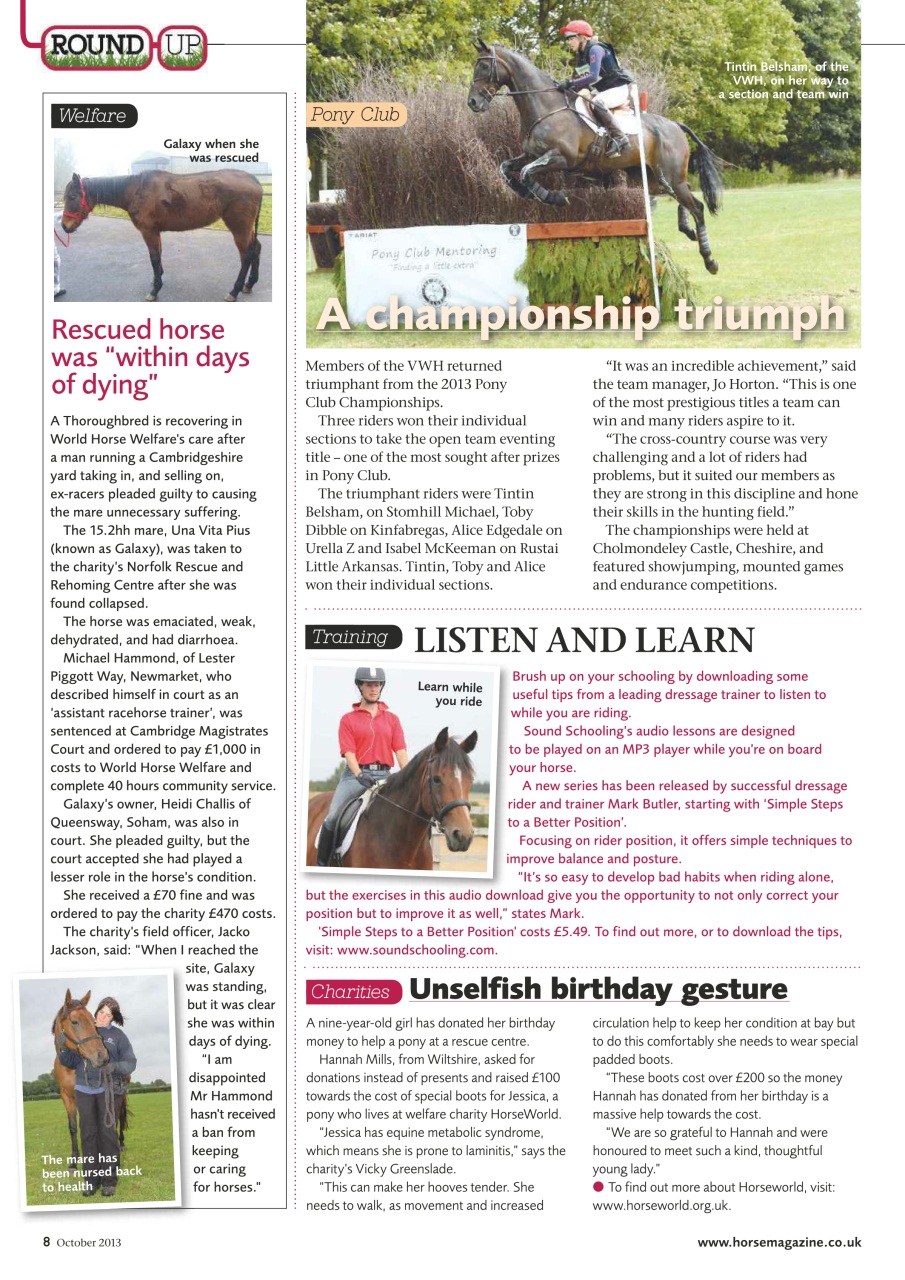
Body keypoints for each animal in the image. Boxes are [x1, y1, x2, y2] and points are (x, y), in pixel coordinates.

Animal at [60, 169, 264, 301]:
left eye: (72, 197)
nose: (64, 226)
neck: (136, 190)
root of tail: (254, 180)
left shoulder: (148, 231)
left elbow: (154, 258)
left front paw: (155, 290)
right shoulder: (155, 231)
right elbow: (158, 255)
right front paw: (157, 278)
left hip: (239, 227)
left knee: (246, 256)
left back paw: (234, 291)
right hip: (247, 228)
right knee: (256, 249)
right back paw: (250, 284)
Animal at [467, 42, 724, 275]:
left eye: (484, 66)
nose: (473, 102)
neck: (545, 108)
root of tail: (675, 125)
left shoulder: (562, 158)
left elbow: (526, 172)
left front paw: (553, 197)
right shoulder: (531, 155)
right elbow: (506, 169)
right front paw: (528, 193)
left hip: (668, 176)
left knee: (697, 206)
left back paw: (709, 260)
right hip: (652, 180)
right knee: (685, 197)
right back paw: (688, 230)